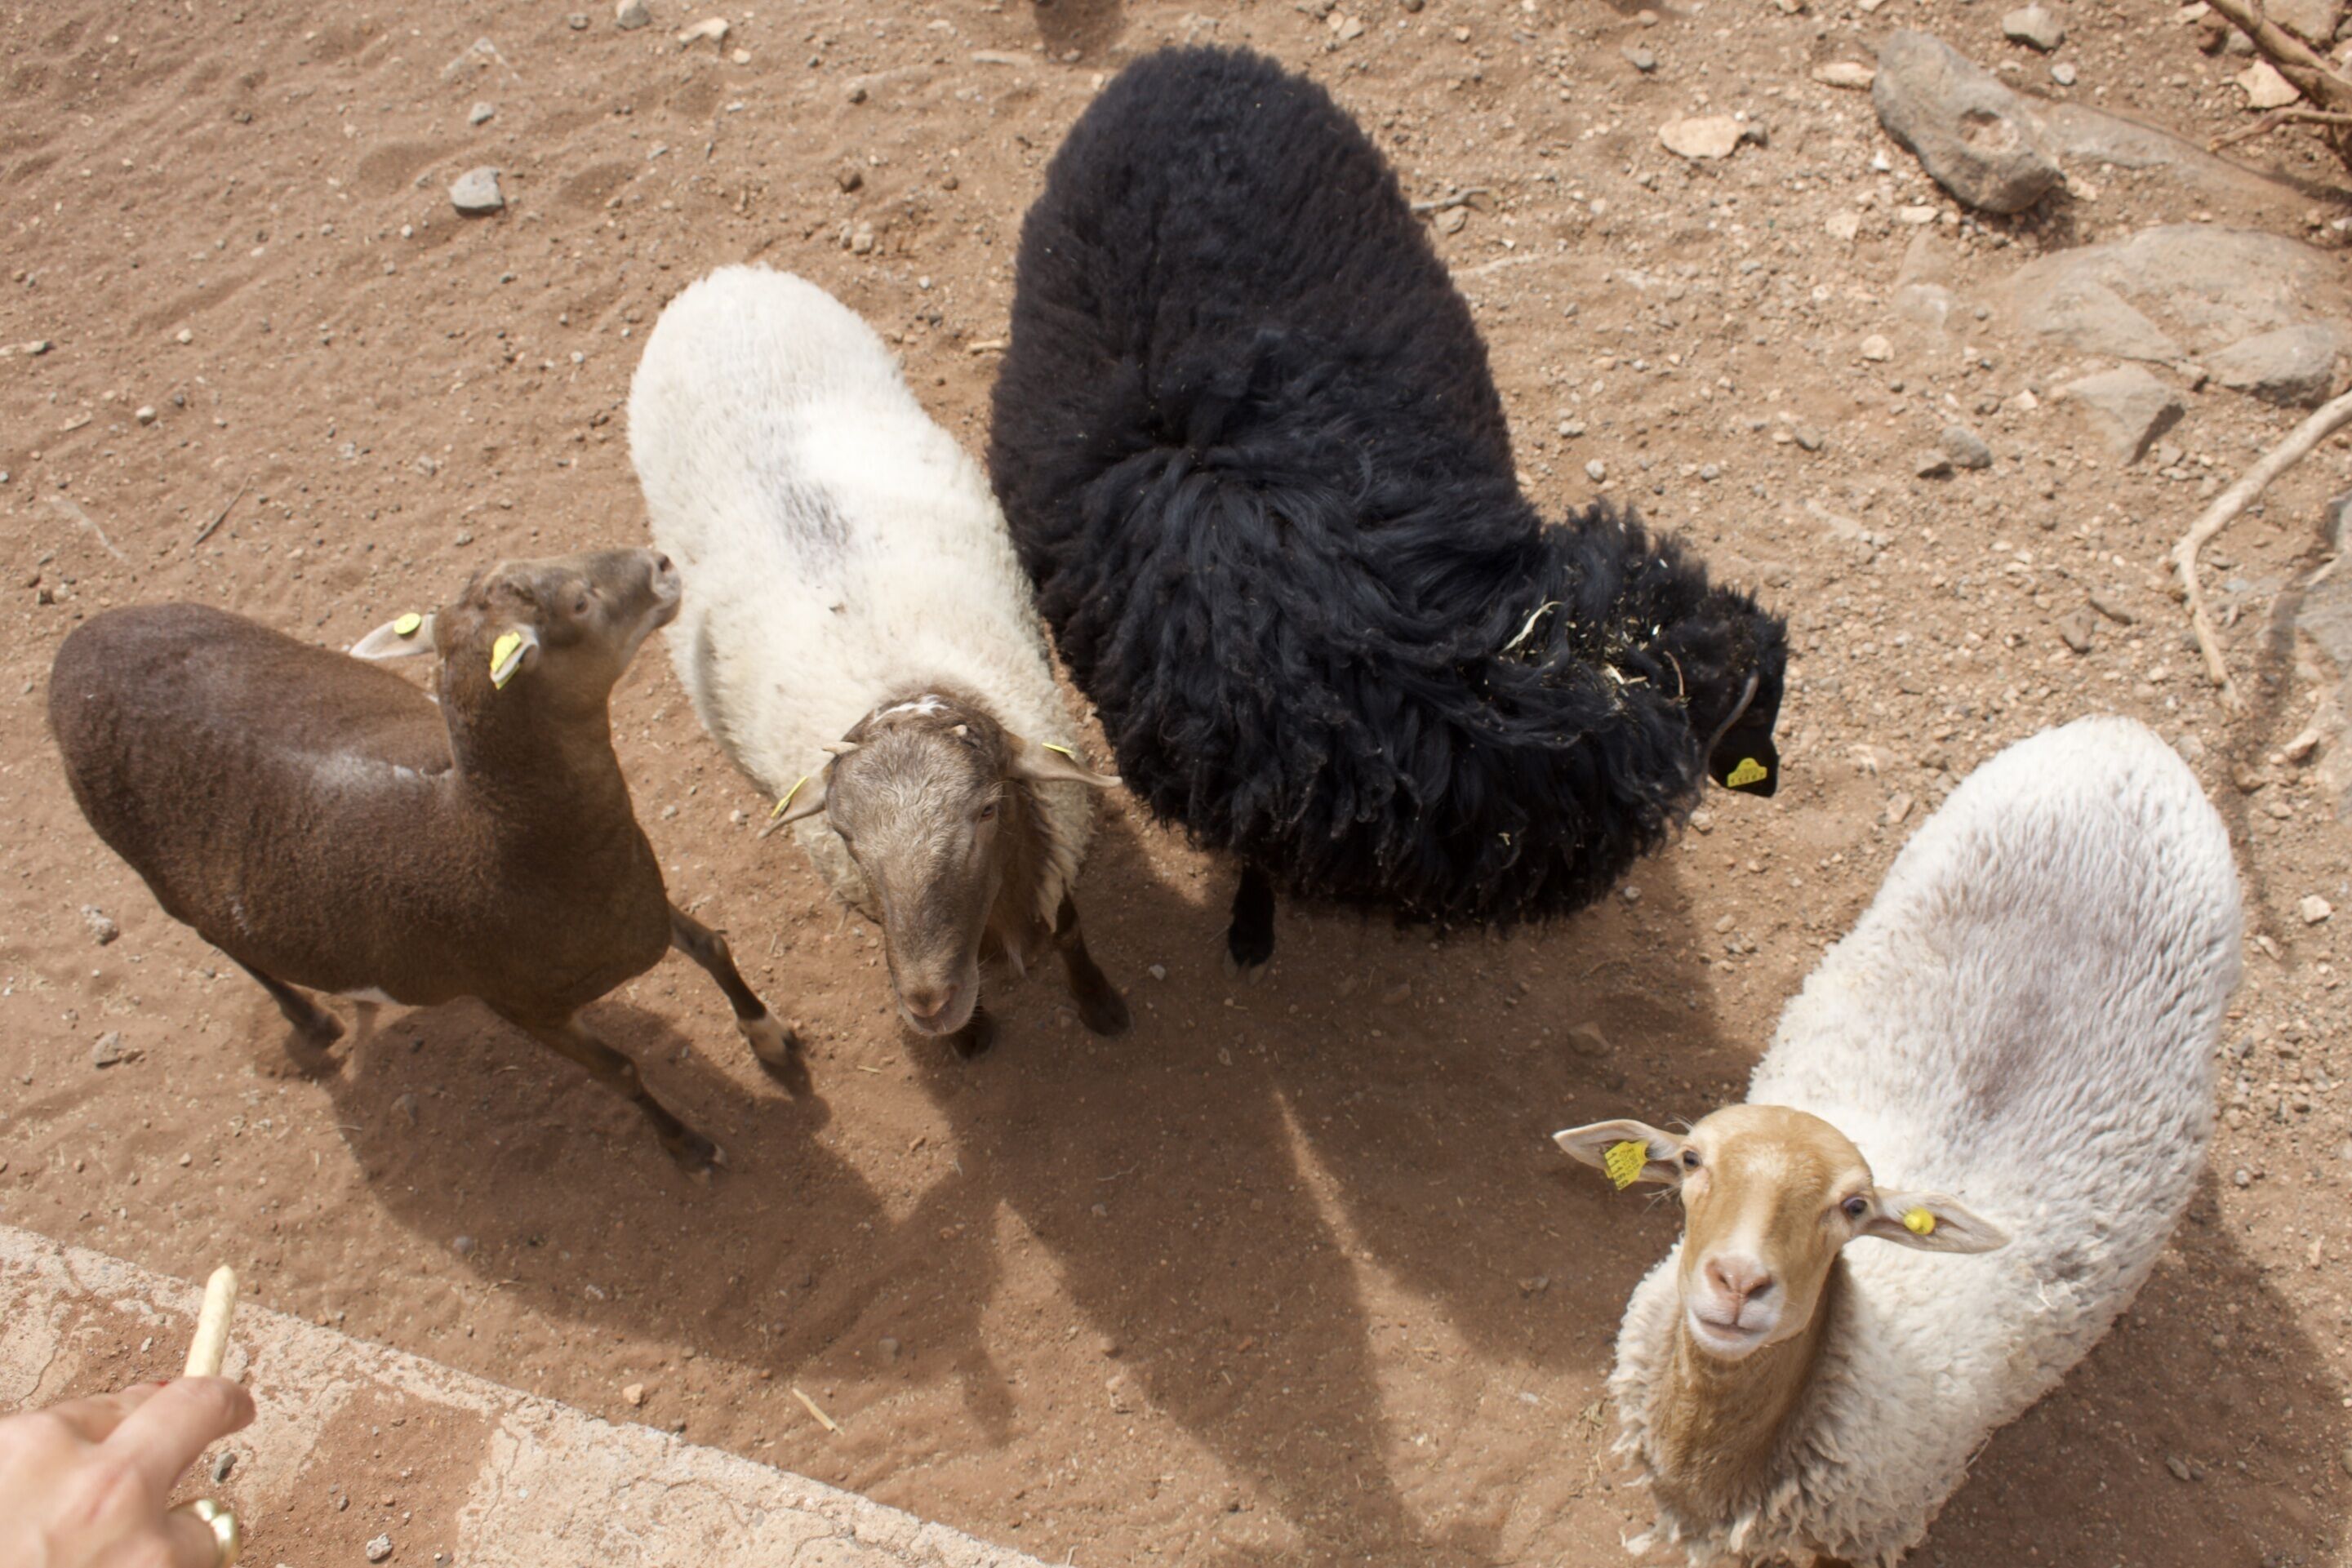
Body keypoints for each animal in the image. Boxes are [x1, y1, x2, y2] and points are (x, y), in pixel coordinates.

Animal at [48, 549, 791, 1174]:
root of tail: (71, 653)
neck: (495, 841)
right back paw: (311, 1020)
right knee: (224, 941)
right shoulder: (521, 1004)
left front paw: (771, 1038)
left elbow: (711, 944)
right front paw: (688, 1145)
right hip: (155, 873)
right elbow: (621, 1071)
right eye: (579, 602)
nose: (661, 564)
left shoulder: (638, 898)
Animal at [627, 265, 1129, 1060]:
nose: (928, 1002)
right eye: (845, 836)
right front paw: (970, 1035)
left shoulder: (1055, 829)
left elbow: (1073, 928)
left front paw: (1099, 1002)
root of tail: (724, 279)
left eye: (987, 810)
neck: (905, 681)